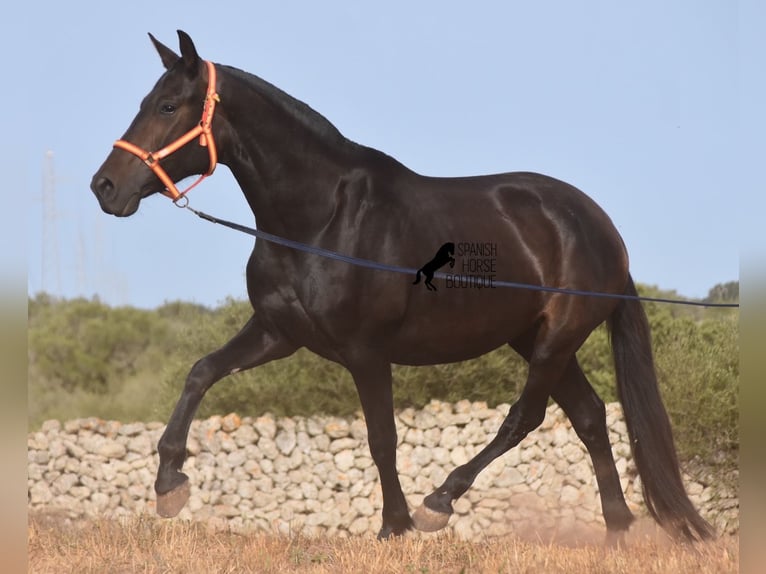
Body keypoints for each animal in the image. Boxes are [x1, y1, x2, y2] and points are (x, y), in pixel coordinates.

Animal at [90, 30, 712, 544]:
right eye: (146, 102)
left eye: (168, 106)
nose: (105, 186)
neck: (321, 220)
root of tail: (598, 226)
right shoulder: (277, 333)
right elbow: (201, 372)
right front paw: (169, 484)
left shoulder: (366, 351)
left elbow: (381, 437)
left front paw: (396, 525)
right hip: (534, 338)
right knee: (588, 416)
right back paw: (617, 530)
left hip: (558, 336)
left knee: (526, 415)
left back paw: (441, 501)